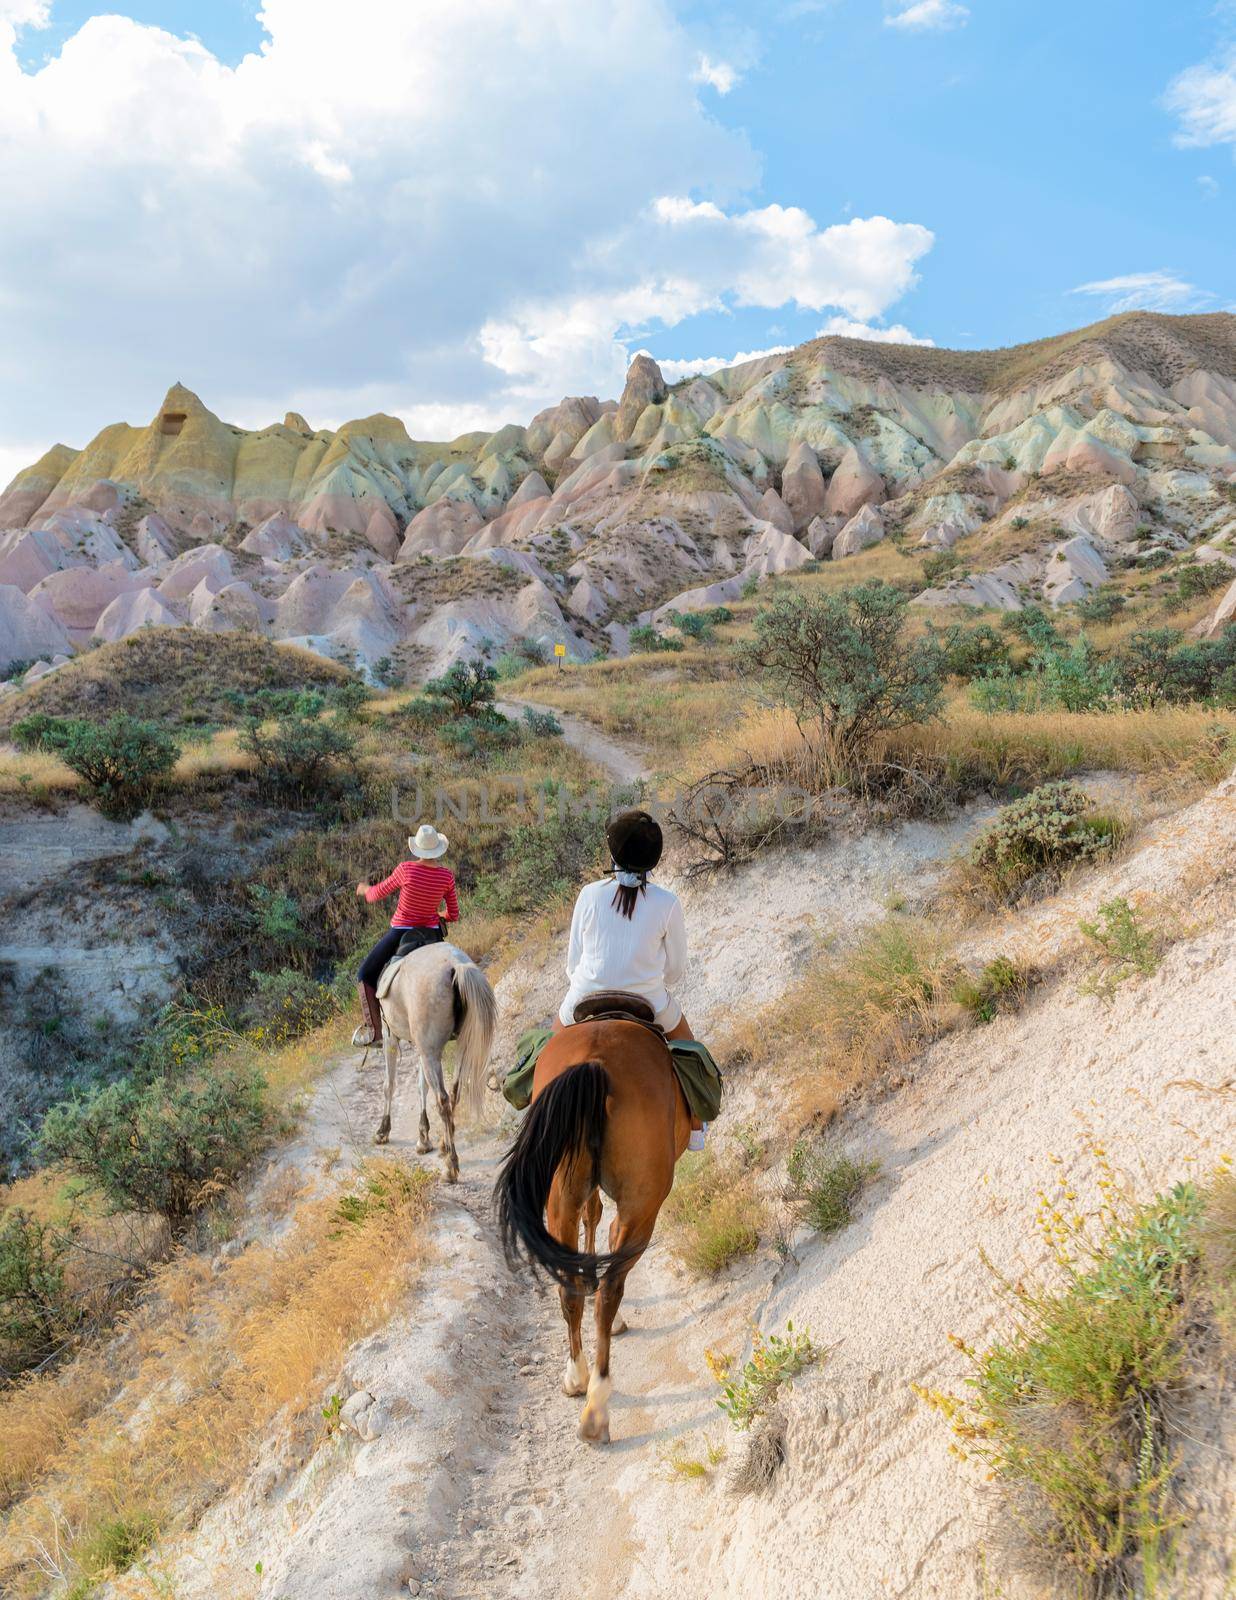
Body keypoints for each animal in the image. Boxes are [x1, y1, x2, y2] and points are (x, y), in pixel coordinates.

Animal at [371, 940, 496, 1184]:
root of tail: (456, 965)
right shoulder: (422, 1049)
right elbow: (422, 1087)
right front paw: (423, 1138)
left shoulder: (390, 1037)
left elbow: (389, 1085)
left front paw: (383, 1131)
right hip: (458, 1044)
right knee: (455, 1092)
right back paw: (444, 1145)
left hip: (429, 1052)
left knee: (443, 1100)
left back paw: (451, 1167)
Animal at [493, 1024, 691, 1452]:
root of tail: (597, 1064)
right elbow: (599, 1219)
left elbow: (593, 1219)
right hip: (643, 1206)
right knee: (611, 1285)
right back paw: (596, 1403)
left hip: (561, 1199)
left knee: (573, 1289)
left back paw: (580, 1383)